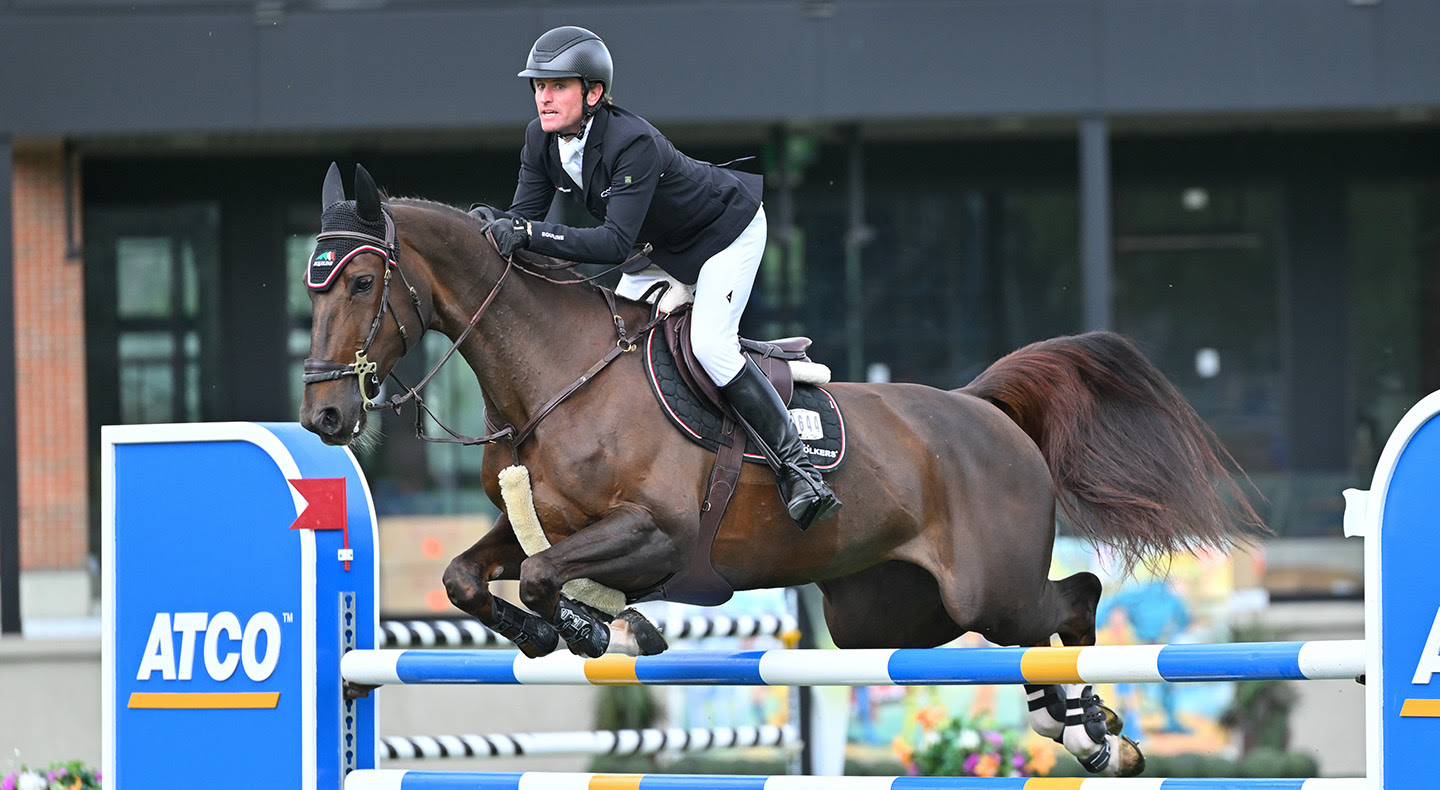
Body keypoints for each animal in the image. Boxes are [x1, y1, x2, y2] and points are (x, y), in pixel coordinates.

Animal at [299, 164, 1267, 777]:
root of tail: (983, 408)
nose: (323, 418)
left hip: (985, 591)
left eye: (359, 284)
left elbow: (544, 578)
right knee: (1043, 622)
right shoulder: (538, 525)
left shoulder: (657, 537)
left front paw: (598, 630)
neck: (556, 374)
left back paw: (1094, 730)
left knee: (1073, 601)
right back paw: (1084, 731)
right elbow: (470, 578)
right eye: (312, 287)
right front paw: (554, 634)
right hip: (887, 616)